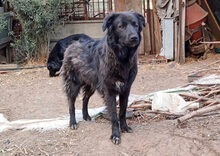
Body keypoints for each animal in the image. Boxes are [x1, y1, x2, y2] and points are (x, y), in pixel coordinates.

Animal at [61, 11, 145, 145]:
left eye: (135, 25)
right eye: (121, 26)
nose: (134, 38)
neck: (121, 57)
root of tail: (72, 44)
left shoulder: (125, 89)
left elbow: (122, 111)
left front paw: (124, 127)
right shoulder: (109, 91)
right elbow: (114, 115)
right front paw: (115, 135)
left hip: (91, 84)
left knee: (84, 99)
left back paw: (86, 116)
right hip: (73, 84)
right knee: (71, 103)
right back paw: (73, 122)